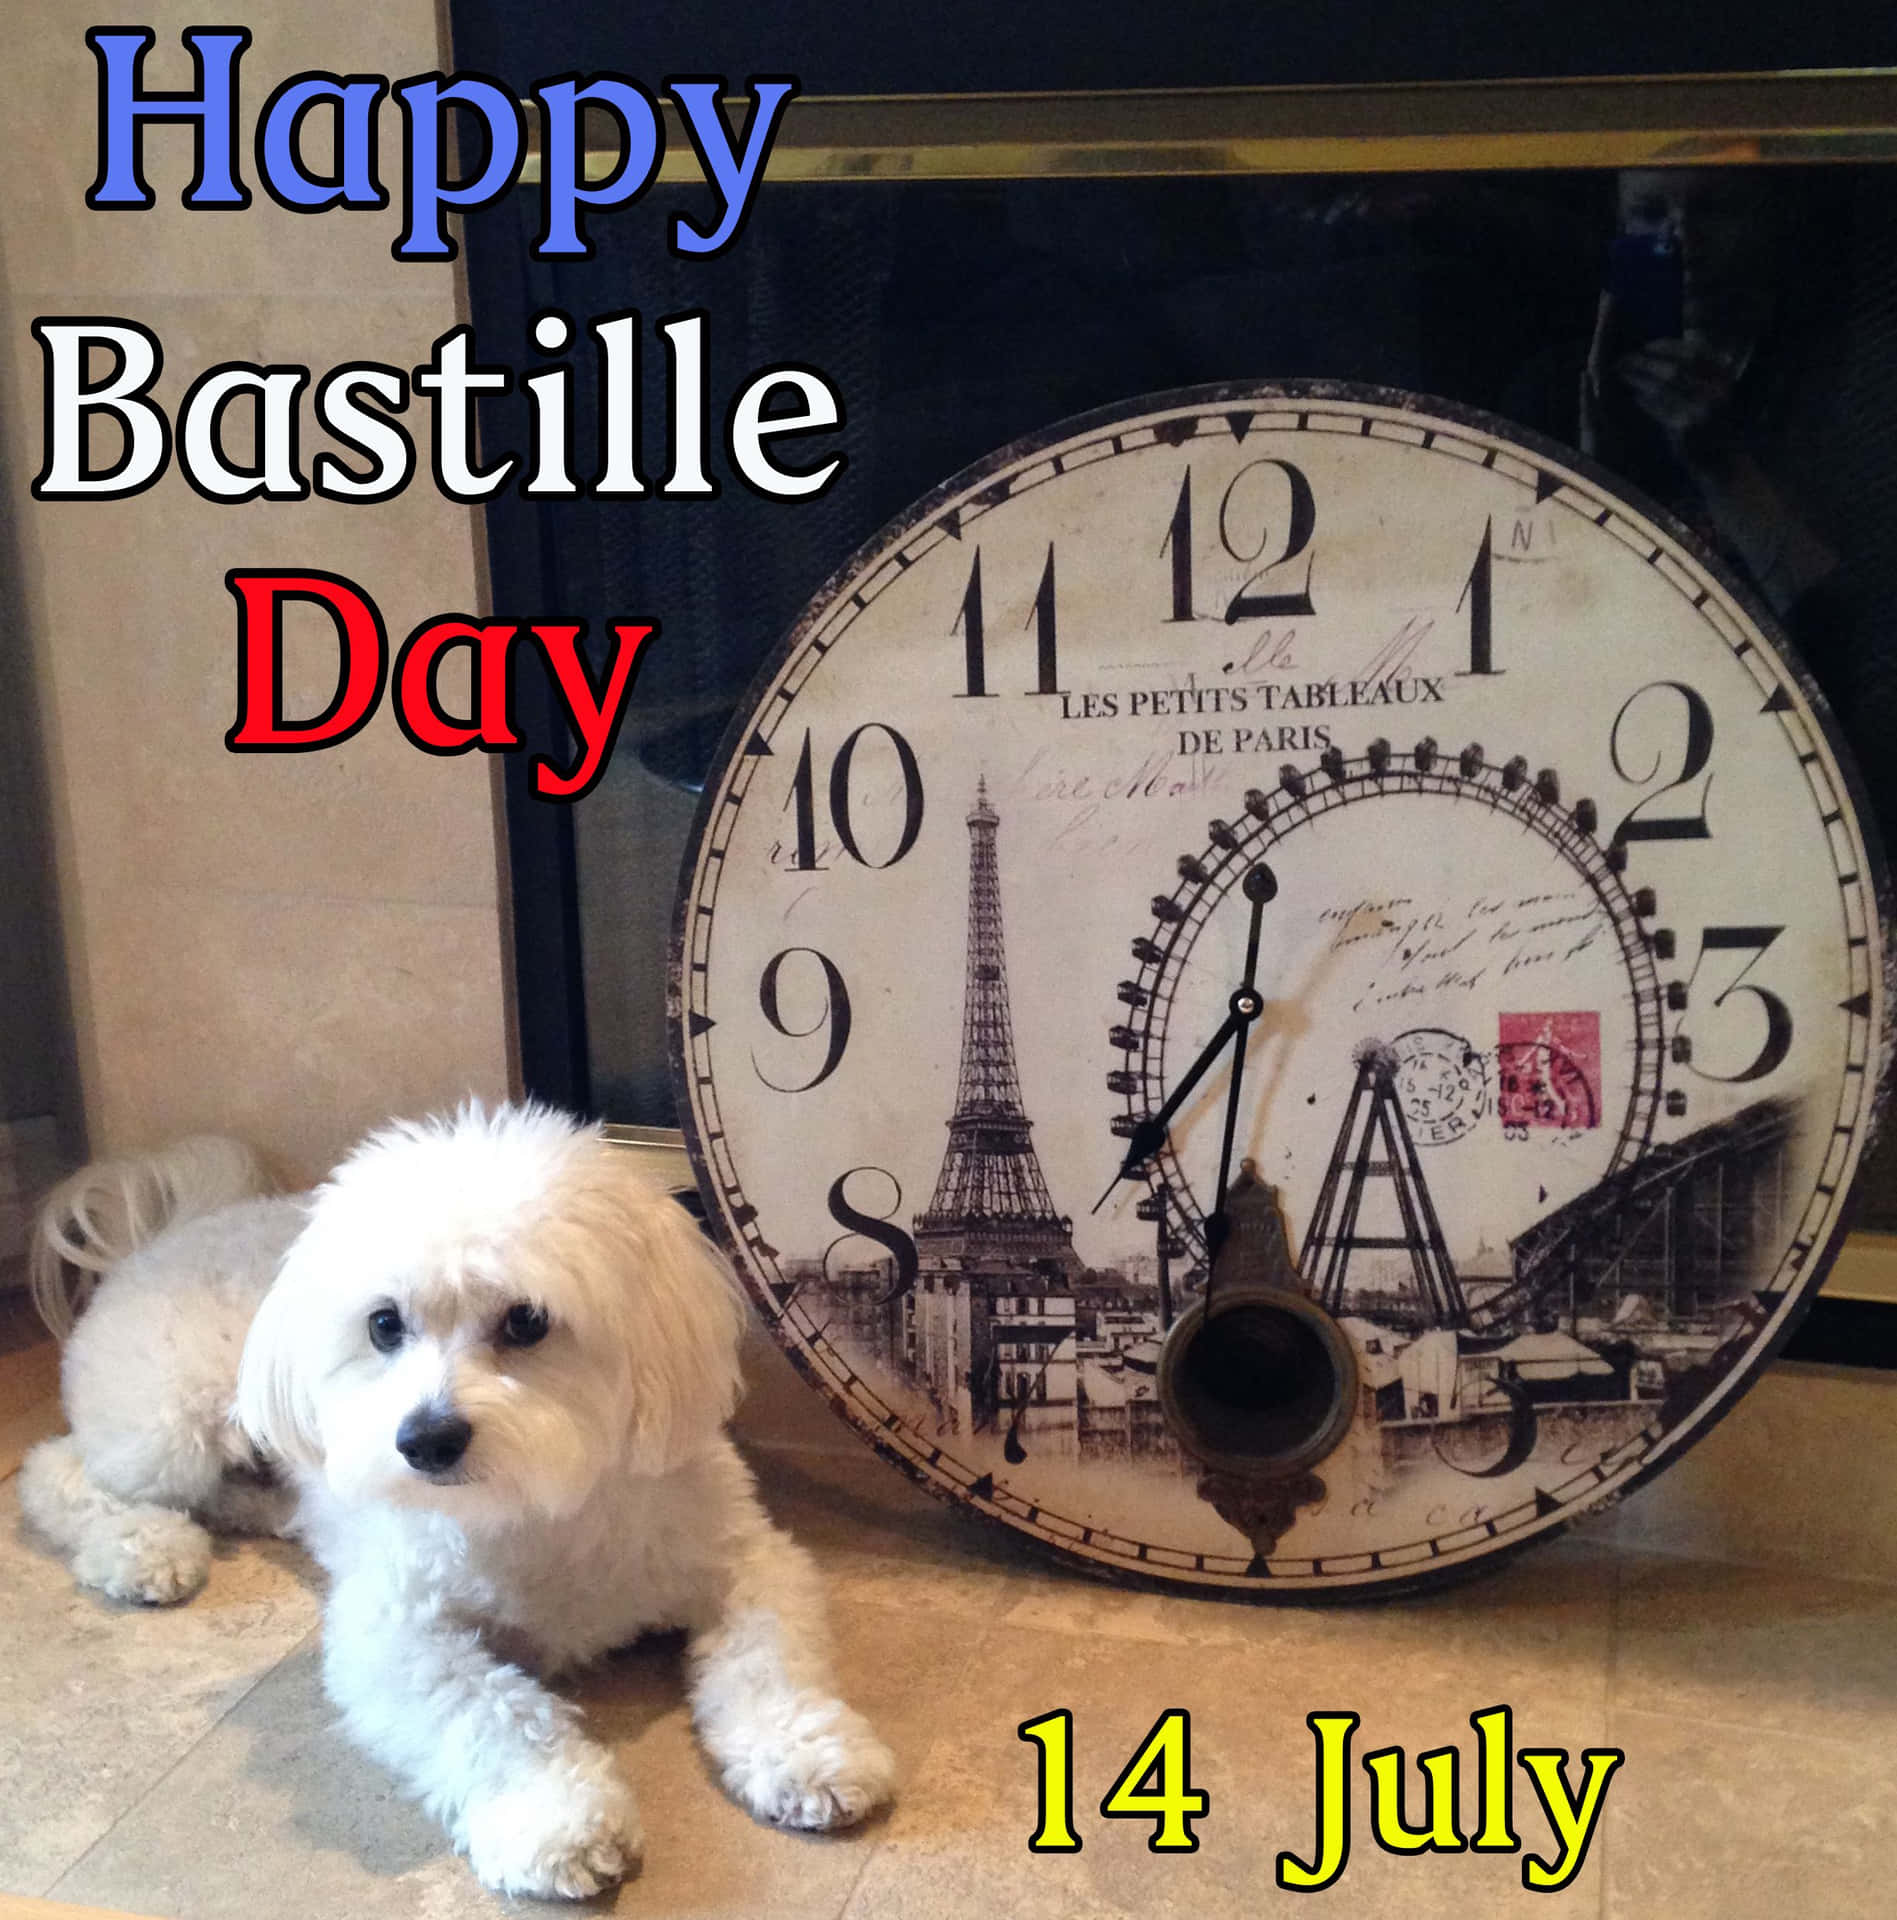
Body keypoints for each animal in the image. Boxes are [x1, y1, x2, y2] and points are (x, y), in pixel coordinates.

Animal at [18, 1105, 894, 1896]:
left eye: (527, 1320)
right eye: (383, 1325)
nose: (425, 1440)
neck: (540, 1503)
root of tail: (173, 1232)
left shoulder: (744, 1560)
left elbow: (769, 1664)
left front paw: (805, 1752)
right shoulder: (396, 1634)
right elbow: (492, 1713)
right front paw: (556, 1820)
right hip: (170, 1422)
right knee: (56, 1468)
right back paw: (142, 1548)